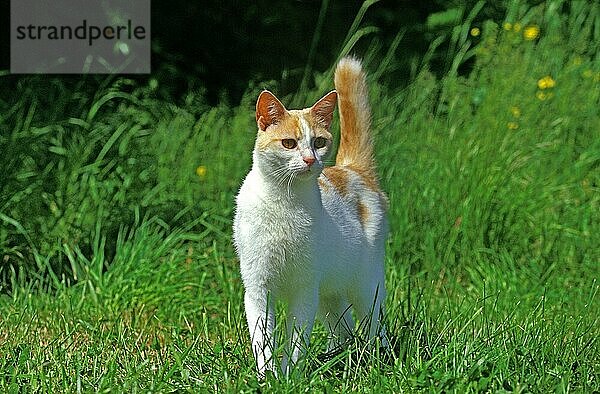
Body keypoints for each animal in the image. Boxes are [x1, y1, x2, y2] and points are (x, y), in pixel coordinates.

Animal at [232, 56, 386, 376]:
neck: (284, 202)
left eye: (319, 142)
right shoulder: (257, 288)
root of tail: (351, 169)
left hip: (367, 286)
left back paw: (379, 358)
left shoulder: (305, 290)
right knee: (343, 328)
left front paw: (290, 375)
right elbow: (262, 340)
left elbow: (296, 339)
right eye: (289, 143)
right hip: (331, 295)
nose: (309, 160)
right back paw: (335, 359)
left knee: (375, 326)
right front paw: (267, 376)